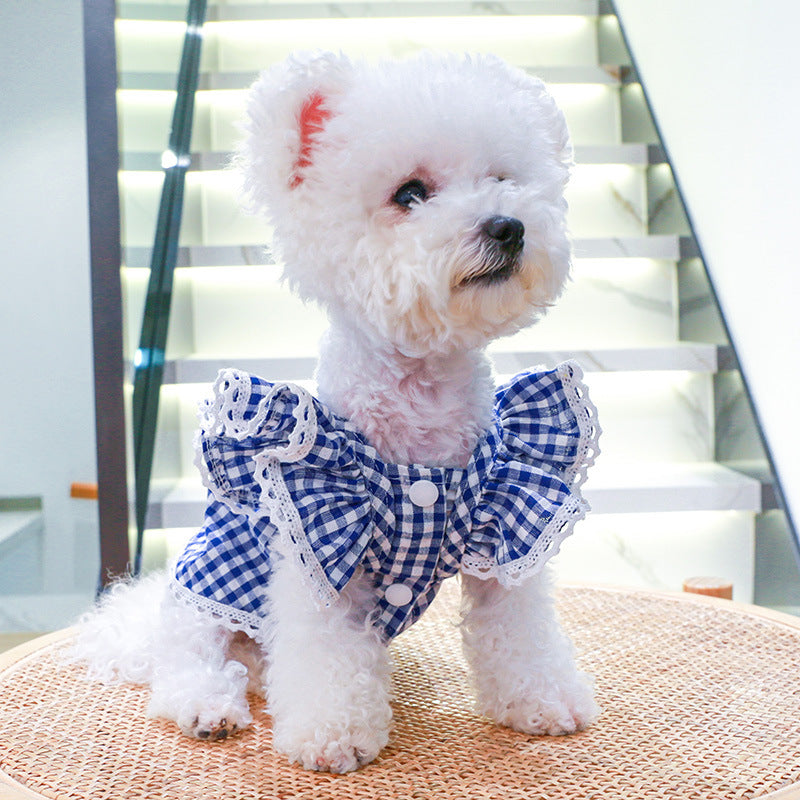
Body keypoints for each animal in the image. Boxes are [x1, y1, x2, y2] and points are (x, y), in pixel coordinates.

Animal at [73, 51, 600, 776]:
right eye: (410, 194)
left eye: (502, 180)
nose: (508, 226)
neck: (421, 423)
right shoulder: (317, 548)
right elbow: (324, 654)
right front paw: (333, 735)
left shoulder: (506, 527)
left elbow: (519, 631)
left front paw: (543, 701)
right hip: (201, 599)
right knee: (183, 665)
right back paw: (209, 706)